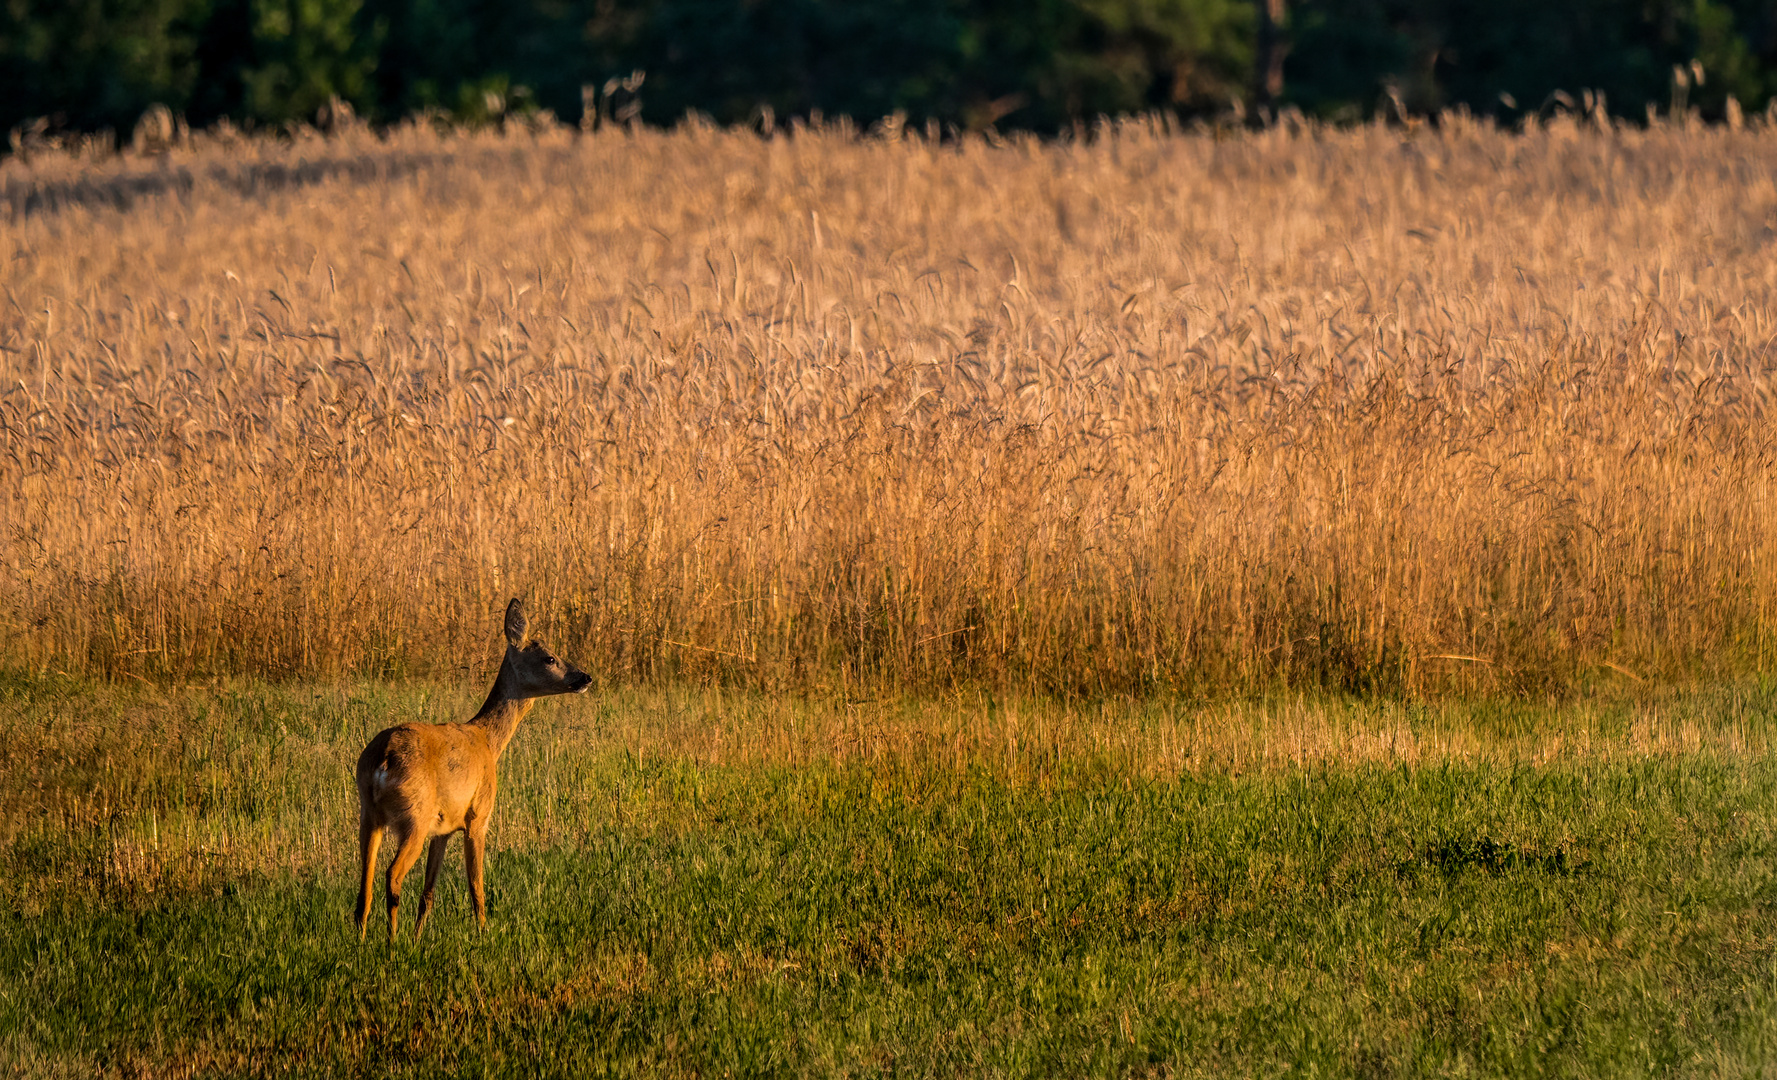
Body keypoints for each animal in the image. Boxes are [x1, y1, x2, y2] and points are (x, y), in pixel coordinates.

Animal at [351, 600, 589, 937]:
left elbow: (428, 893)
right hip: (415, 816)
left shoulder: (443, 829)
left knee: (364, 887)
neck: (487, 740)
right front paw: (483, 933)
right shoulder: (478, 816)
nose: (585, 677)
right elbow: (477, 886)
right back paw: (392, 939)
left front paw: (419, 937)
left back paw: (364, 939)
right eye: (550, 657)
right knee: (392, 874)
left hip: (369, 814)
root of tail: (383, 759)